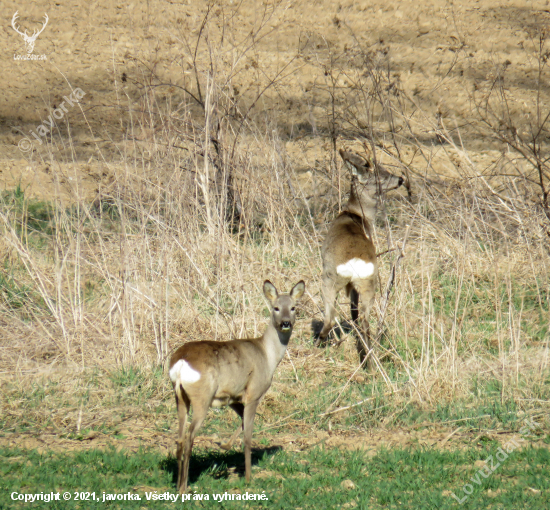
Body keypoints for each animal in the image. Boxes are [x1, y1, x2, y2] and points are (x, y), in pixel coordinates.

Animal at [169, 280, 306, 492]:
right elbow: (248, 437)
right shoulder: (254, 393)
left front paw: (224, 446)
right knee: (189, 437)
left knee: (179, 437)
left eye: (293, 307)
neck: (267, 355)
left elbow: (242, 422)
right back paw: (185, 487)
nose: (285, 323)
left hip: (180, 398)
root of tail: (181, 362)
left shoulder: (233, 396)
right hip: (202, 397)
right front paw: (249, 478)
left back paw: (178, 485)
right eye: (275, 307)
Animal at [316, 147, 404, 370]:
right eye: (381, 175)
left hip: (329, 279)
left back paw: (319, 343)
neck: (357, 215)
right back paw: (369, 361)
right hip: (367, 283)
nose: (400, 179)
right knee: (363, 319)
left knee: (330, 318)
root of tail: (355, 262)